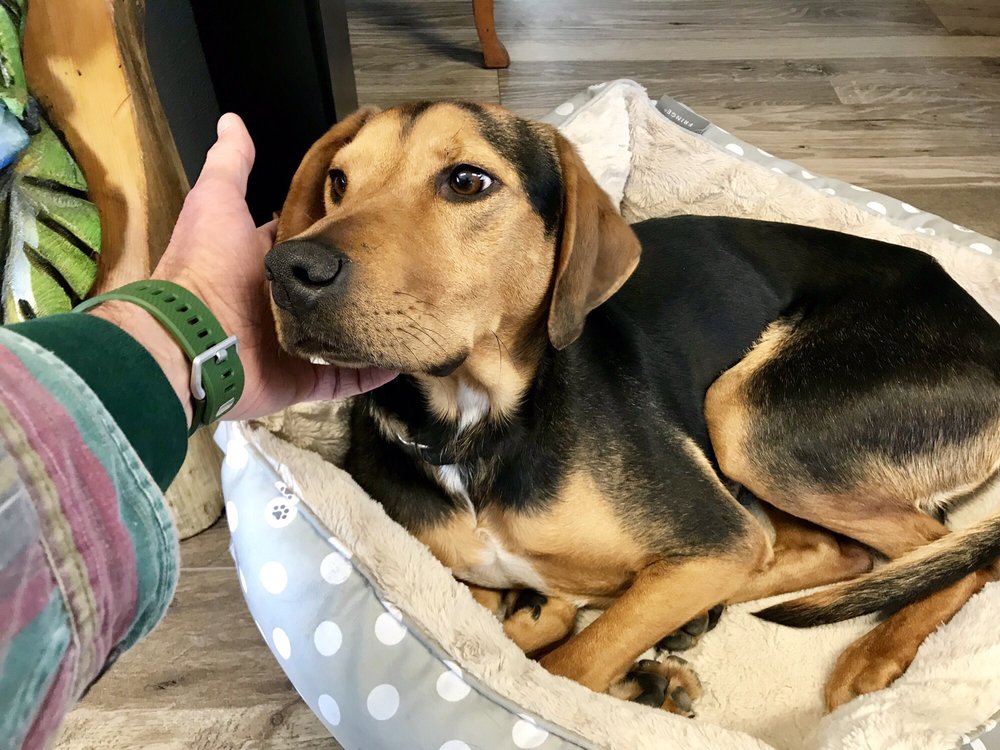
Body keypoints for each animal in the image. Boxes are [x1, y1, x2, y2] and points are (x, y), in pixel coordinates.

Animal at [264, 101, 1000, 713]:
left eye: (467, 182)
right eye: (338, 181)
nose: (288, 270)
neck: (472, 432)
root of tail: (983, 323)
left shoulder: (715, 541)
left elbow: (568, 669)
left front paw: (615, 669)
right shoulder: (465, 584)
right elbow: (526, 633)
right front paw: (623, 665)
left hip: (747, 421)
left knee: (947, 554)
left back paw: (871, 654)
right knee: (836, 552)